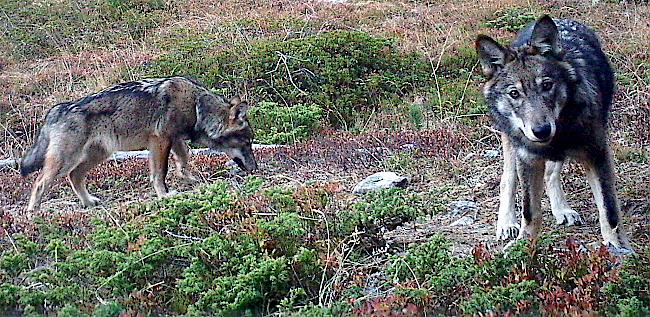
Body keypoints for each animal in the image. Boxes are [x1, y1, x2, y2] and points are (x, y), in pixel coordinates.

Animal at [18, 75, 256, 211]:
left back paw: (88, 203)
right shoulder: (160, 140)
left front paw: (190, 180)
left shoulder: (174, 140)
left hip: (98, 155)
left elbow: (183, 161)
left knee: (74, 176)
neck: (197, 106)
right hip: (66, 160)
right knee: (39, 183)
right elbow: (160, 172)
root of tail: (57, 109)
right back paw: (32, 216)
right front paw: (164, 195)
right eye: (247, 142)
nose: (255, 169)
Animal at [474, 15, 632, 252]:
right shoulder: (528, 160)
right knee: (507, 179)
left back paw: (562, 211)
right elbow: (530, 212)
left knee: (551, 174)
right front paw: (522, 247)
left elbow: (609, 209)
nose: (541, 131)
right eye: (514, 93)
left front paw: (616, 247)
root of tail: (561, 18)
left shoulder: (598, 155)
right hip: (511, 145)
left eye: (547, 85)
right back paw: (506, 223)